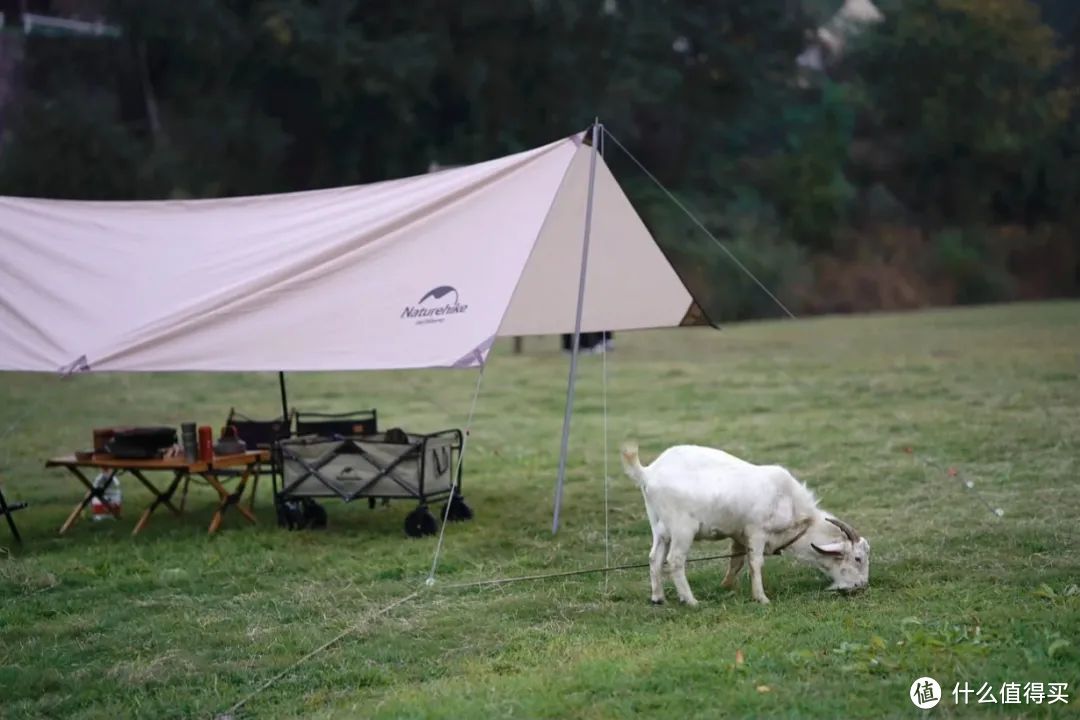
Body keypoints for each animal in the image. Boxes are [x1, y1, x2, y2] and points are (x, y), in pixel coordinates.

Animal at [622, 442, 864, 604]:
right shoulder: (757, 530)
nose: (860, 587)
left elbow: (736, 561)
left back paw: (658, 598)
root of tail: (648, 473)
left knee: (654, 558)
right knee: (675, 560)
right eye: (858, 558)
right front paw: (761, 598)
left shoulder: (738, 534)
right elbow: (755, 562)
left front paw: (727, 586)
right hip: (682, 527)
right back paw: (690, 601)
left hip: (660, 527)